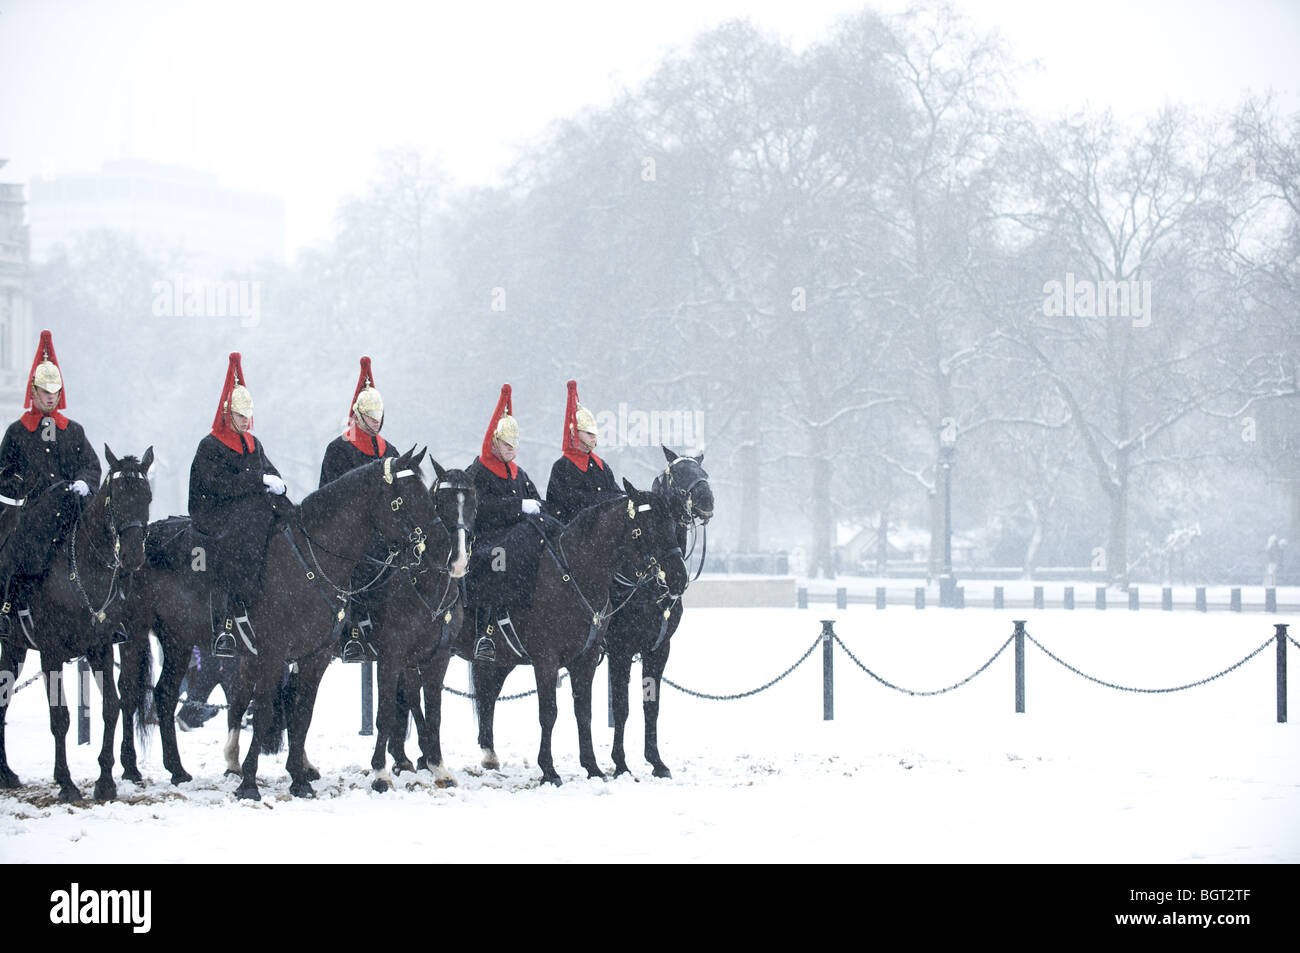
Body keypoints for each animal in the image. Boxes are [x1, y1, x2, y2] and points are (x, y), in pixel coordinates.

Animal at [0, 447, 153, 800]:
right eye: (117, 496)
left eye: (147, 496)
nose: (133, 557)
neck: (80, 571)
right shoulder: (51, 653)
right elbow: (61, 717)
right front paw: (66, 782)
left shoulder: (100, 649)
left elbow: (112, 706)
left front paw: (105, 781)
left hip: (13, 648)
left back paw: (6, 773)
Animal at [467, 478, 691, 785]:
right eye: (647, 527)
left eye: (673, 522)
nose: (678, 577)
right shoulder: (567, 658)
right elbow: (558, 712)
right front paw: (555, 770)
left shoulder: (640, 652)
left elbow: (606, 709)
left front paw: (628, 764)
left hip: (504, 657)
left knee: (488, 693)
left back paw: (488, 754)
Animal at [605, 444, 712, 774]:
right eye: (678, 474)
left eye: (703, 472)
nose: (707, 500)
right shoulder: (620, 650)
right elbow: (622, 707)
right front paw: (620, 763)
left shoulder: (659, 648)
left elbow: (651, 705)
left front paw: (655, 760)